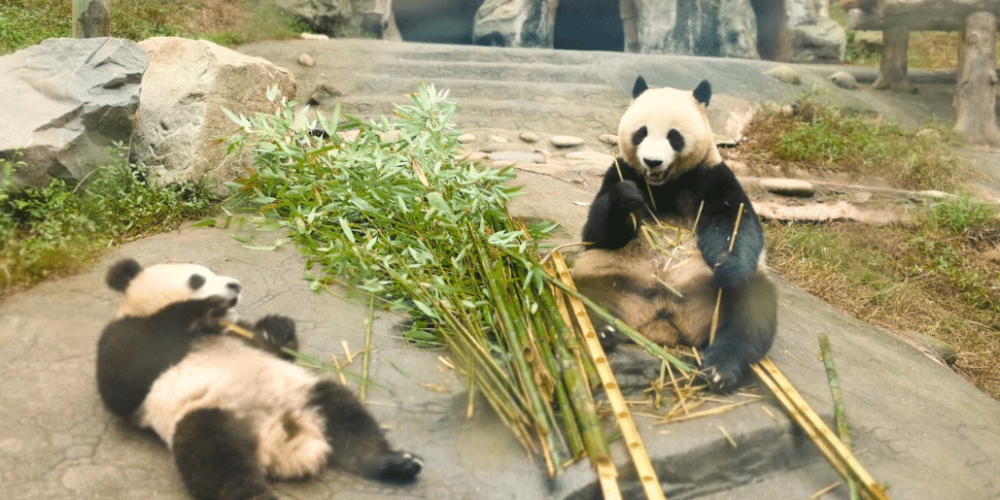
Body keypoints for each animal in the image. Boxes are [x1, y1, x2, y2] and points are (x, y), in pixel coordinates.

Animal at [96, 258, 422, 500]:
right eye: (197, 279)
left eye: (212, 270)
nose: (235, 285)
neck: (207, 330)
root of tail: (279, 438)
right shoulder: (127, 336)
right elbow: (121, 385)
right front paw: (205, 305)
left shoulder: (239, 331)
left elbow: (270, 345)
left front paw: (277, 327)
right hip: (211, 413)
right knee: (216, 459)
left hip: (301, 391)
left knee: (345, 414)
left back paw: (396, 462)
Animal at [574, 76, 777, 392]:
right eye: (641, 132)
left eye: (674, 136)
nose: (652, 161)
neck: (664, 185)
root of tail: (664, 320)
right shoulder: (620, 171)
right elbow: (596, 233)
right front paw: (626, 199)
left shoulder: (712, 176)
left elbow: (736, 222)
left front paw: (729, 265)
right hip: (607, 272)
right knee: (581, 292)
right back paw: (605, 328)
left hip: (713, 290)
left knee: (751, 310)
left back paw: (721, 368)